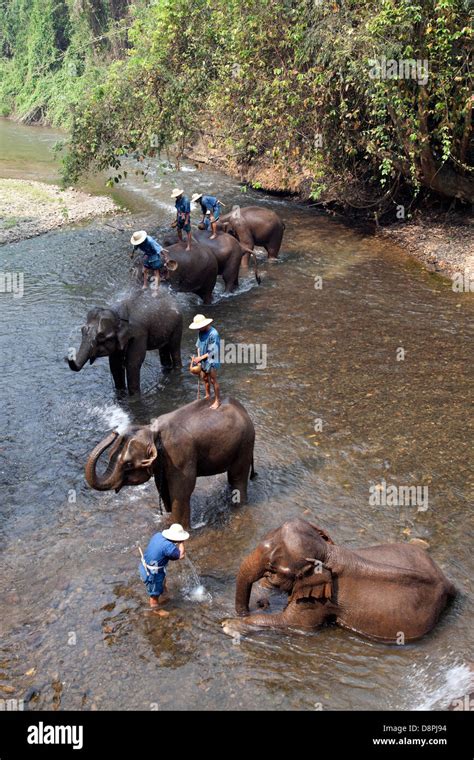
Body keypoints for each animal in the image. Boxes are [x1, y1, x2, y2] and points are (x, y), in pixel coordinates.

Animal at [84, 394, 256, 532]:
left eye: (128, 465)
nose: (114, 432)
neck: (152, 432)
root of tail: (243, 409)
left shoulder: (180, 456)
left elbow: (181, 492)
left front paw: (183, 530)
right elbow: (164, 489)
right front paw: (167, 520)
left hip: (245, 443)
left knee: (237, 476)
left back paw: (239, 506)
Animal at [224, 516, 458, 640]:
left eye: (273, 567)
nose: (257, 605)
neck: (328, 553)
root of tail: (447, 582)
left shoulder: (317, 601)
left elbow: (294, 624)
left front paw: (229, 626)